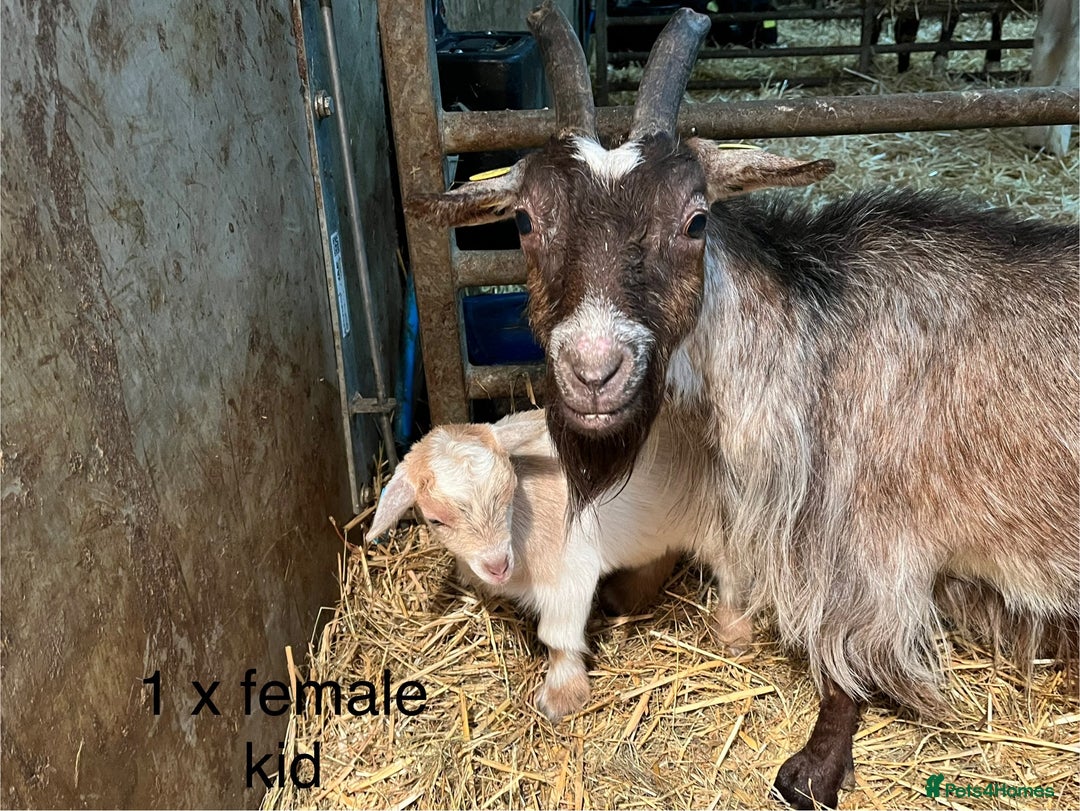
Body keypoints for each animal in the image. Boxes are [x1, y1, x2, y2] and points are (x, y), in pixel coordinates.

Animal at [366, 409, 747, 723]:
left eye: (509, 491)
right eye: (435, 519)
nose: (498, 566)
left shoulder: (568, 573)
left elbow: (557, 637)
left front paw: (561, 697)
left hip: (722, 524)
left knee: (735, 575)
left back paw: (735, 635)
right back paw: (624, 597)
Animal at [410, 3, 1079, 806]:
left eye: (696, 219)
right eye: (526, 221)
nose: (595, 371)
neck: (812, 337)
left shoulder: (871, 544)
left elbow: (848, 661)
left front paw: (811, 770)